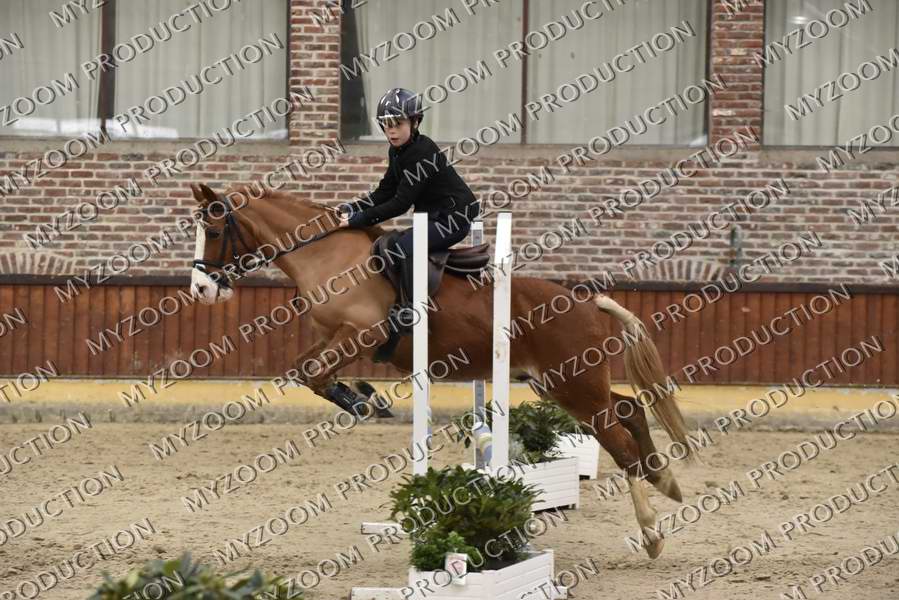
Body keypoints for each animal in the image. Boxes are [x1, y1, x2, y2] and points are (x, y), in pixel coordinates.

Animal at [187, 182, 692, 559]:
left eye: (212, 230)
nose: (200, 290)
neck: (326, 257)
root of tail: (588, 302)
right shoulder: (333, 337)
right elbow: (304, 371)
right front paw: (363, 396)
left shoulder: (361, 334)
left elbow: (312, 374)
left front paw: (363, 402)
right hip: (563, 384)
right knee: (629, 410)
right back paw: (665, 481)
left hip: (574, 386)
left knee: (618, 437)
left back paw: (652, 532)